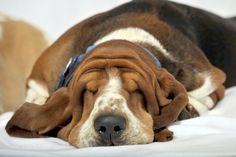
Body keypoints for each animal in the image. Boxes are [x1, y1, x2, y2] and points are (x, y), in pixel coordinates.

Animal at [5, 0, 236, 147]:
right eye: (87, 91)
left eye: (140, 91)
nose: (109, 125)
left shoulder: (211, 80)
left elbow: (202, 98)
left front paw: (188, 107)